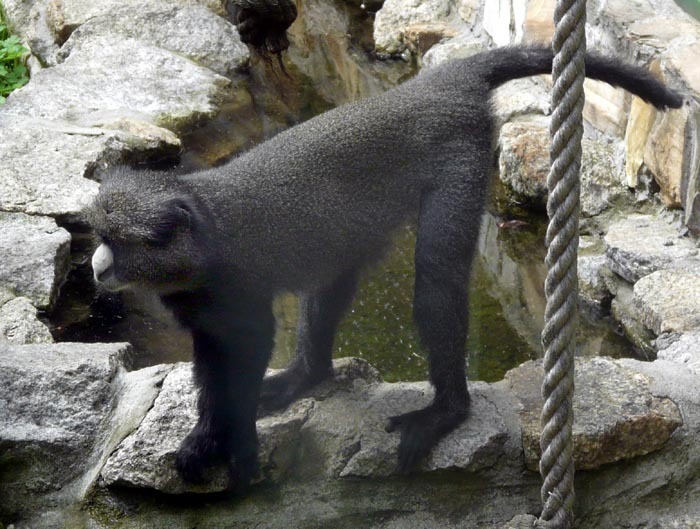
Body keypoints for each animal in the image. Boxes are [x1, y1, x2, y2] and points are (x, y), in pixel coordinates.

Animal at [85, 45, 680, 490]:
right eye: (99, 236)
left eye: (117, 241)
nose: (96, 266)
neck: (201, 230)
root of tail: (430, 85)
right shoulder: (198, 304)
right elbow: (212, 359)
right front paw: (204, 438)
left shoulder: (238, 290)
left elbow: (246, 350)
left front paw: (233, 444)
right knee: (332, 280)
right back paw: (308, 375)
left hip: (460, 160)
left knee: (436, 283)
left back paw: (448, 410)